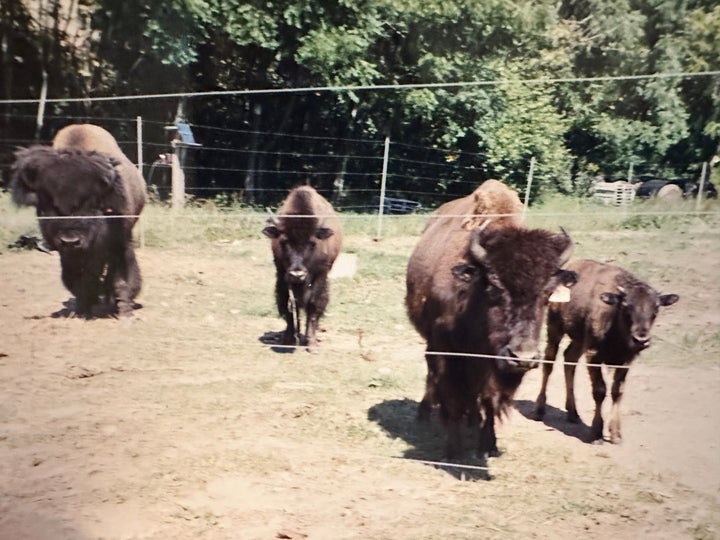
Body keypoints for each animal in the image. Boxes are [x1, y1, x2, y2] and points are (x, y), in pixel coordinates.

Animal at [9, 124, 146, 316]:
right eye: (49, 205)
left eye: (92, 204)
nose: (70, 240)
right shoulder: (68, 253)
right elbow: (76, 276)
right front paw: (83, 307)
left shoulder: (120, 241)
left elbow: (122, 276)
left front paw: (123, 309)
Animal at [262, 186, 342, 351]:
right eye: (283, 242)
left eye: (312, 243)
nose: (297, 274)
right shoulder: (282, 276)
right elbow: (287, 306)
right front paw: (288, 339)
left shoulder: (320, 276)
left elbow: (314, 305)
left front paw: (312, 344)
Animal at [406, 180, 577, 458]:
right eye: (494, 286)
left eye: (547, 293)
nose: (523, 357)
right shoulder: (443, 351)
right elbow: (451, 395)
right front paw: (453, 449)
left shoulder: (493, 366)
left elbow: (489, 398)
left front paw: (488, 444)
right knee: (434, 381)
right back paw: (425, 414)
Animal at [533, 259, 678, 443]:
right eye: (626, 306)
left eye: (656, 308)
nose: (641, 340)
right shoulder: (593, 356)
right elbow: (599, 390)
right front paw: (596, 432)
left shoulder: (626, 361)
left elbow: (617, 391)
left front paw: (616, 434)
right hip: (555, 329)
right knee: (549, 364)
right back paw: (539, 410)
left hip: (579, 341)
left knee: (569, 360)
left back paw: (573, 413)